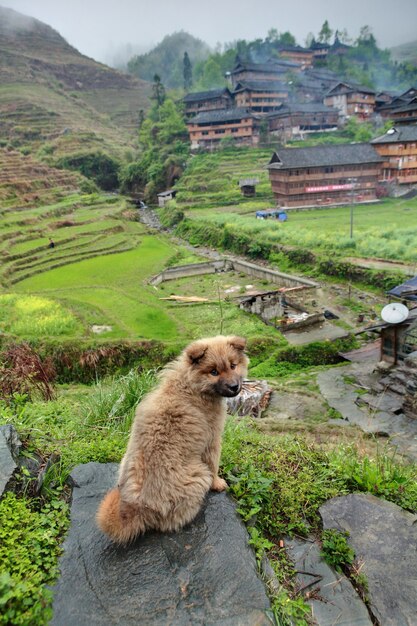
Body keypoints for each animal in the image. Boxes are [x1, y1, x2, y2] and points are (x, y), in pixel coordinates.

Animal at [97, 334, 247, 544]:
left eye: (233, 366)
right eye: (214, 372)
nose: (235, 387)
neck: (191, 386)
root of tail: (140, 506)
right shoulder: (212, 438)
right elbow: (213, 464)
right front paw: (218, 483)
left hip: (124, 461)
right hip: (198, 476)